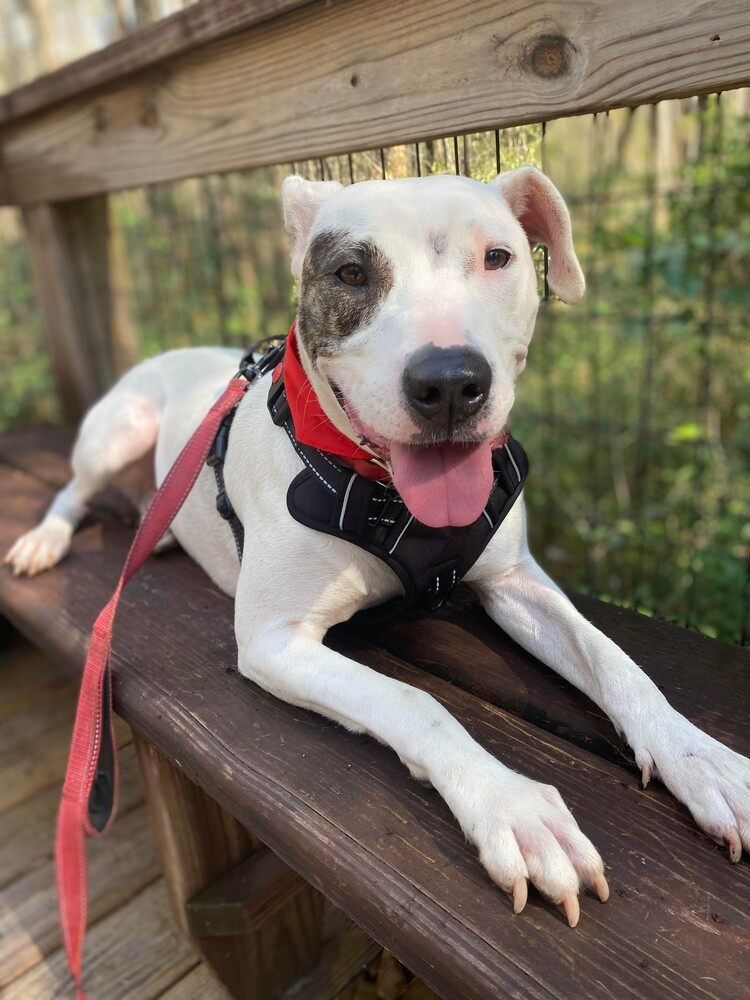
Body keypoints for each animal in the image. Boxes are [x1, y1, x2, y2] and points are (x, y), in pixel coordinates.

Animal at [7, 168, 750, 924]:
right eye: (351, 273)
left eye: (498, 258)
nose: (450, 382)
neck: (386, 496)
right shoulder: (275, 640)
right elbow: (417, 703)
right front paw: (512, 807)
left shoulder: (516, 582)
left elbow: (615, 662)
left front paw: (703, 760)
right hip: (118, 429)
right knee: (72, 489)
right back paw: (43, 541)